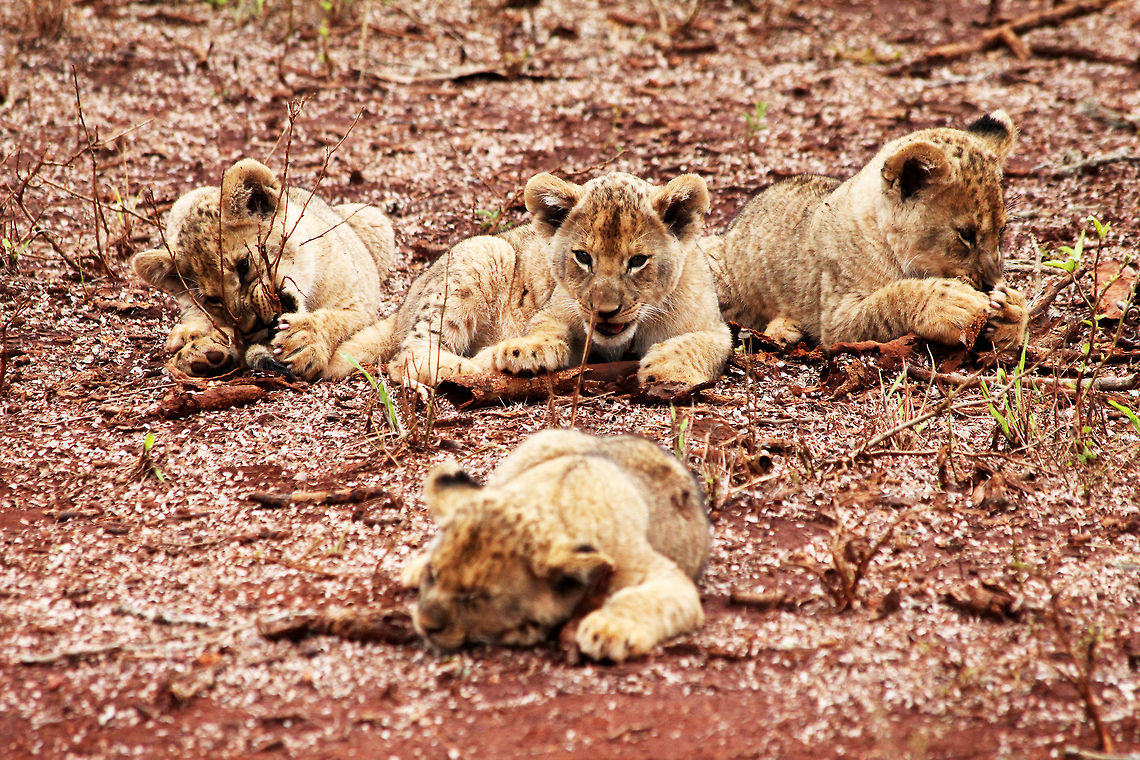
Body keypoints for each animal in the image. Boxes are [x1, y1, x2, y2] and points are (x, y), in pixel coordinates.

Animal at [132, 159, 395, 380]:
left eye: (244, 265)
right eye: (213, 299)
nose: (253, 325)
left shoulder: (360, 303)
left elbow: (340, 321)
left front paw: (305, 339)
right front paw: (207, 349)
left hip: (374, 219)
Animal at [328, 172, 732, 388]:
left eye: (637, 261)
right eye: (583, 257)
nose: (604, 311)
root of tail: (400, 310)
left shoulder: (714, 326)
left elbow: (703, 344)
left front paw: (666, 368)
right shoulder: (557, 309)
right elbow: (547, 332)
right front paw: (517, 352)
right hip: (487, 250)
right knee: (409, 355)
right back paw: (471, 367)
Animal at [401, 429, 711, 662]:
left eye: (476, 597)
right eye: (434, 575)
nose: (425, 624)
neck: (554, 503)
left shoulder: (667, 578)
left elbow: (640, 600)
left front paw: (607, 630)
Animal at [707, 110, 1028, 349]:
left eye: (1001, 231)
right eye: (966, 234)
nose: (991, 283)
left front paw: (1011, 311)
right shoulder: (835, 320)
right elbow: (889, 300)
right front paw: (949, 302)